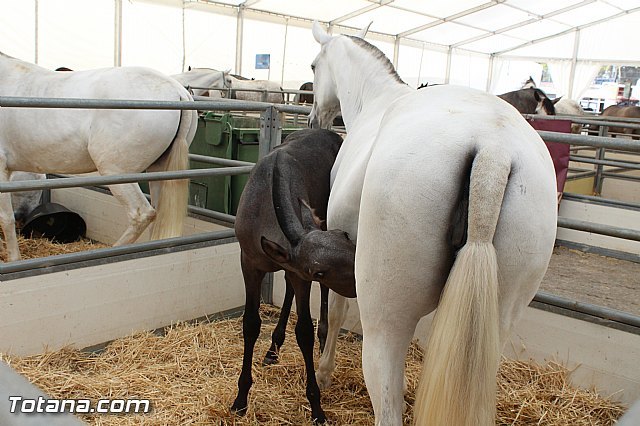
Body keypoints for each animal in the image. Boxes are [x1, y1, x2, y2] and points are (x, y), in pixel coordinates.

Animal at [0, 51, 197, 262]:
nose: (23, 216)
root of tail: (177, 90)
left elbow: (5, 218)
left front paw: (13, 258)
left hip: (117, 173)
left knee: (142, 214)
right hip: (158, 172)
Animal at [231, 128, 356, 423]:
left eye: (345, 236)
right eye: (319, 269)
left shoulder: (301, 276)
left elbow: (304, 332)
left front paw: (317, 407)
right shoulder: (250, 263)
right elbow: (251, 324)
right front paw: (241, 398)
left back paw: (321, 340)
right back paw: (273, 348)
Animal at [308, 21, 557, 425]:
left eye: (315, 66)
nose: (314, 118)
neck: (378, 100)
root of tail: (493, 149)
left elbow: (336, 309)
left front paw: (324, 372)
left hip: (385, 324)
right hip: (498, 322)